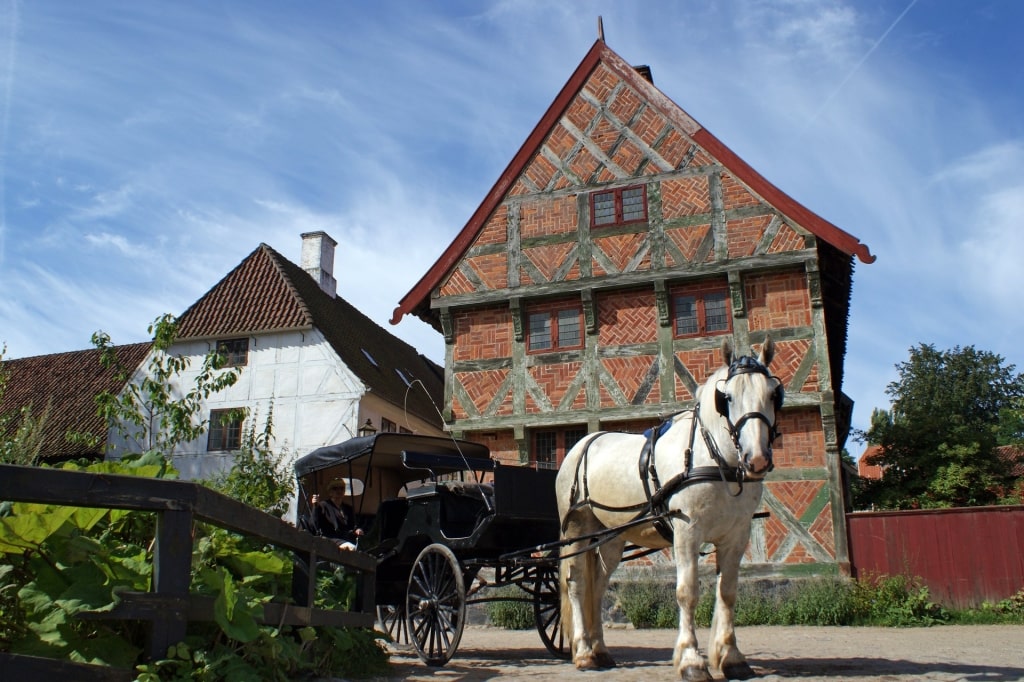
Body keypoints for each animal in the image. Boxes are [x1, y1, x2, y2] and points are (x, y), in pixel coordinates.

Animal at [557, 335, 778, 679]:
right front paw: (690, 660)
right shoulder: (687, 532)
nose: (756, 459)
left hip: (611, 537)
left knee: (599, 586)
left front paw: (731, 657)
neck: (713, 458)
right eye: (726, 398)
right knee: (577, 584)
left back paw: (600, 650)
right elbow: (687, 592)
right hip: (576, 532)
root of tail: (583, 443)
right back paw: (582, 652)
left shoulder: (736, 536)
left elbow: (727, 592)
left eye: (772, 394)